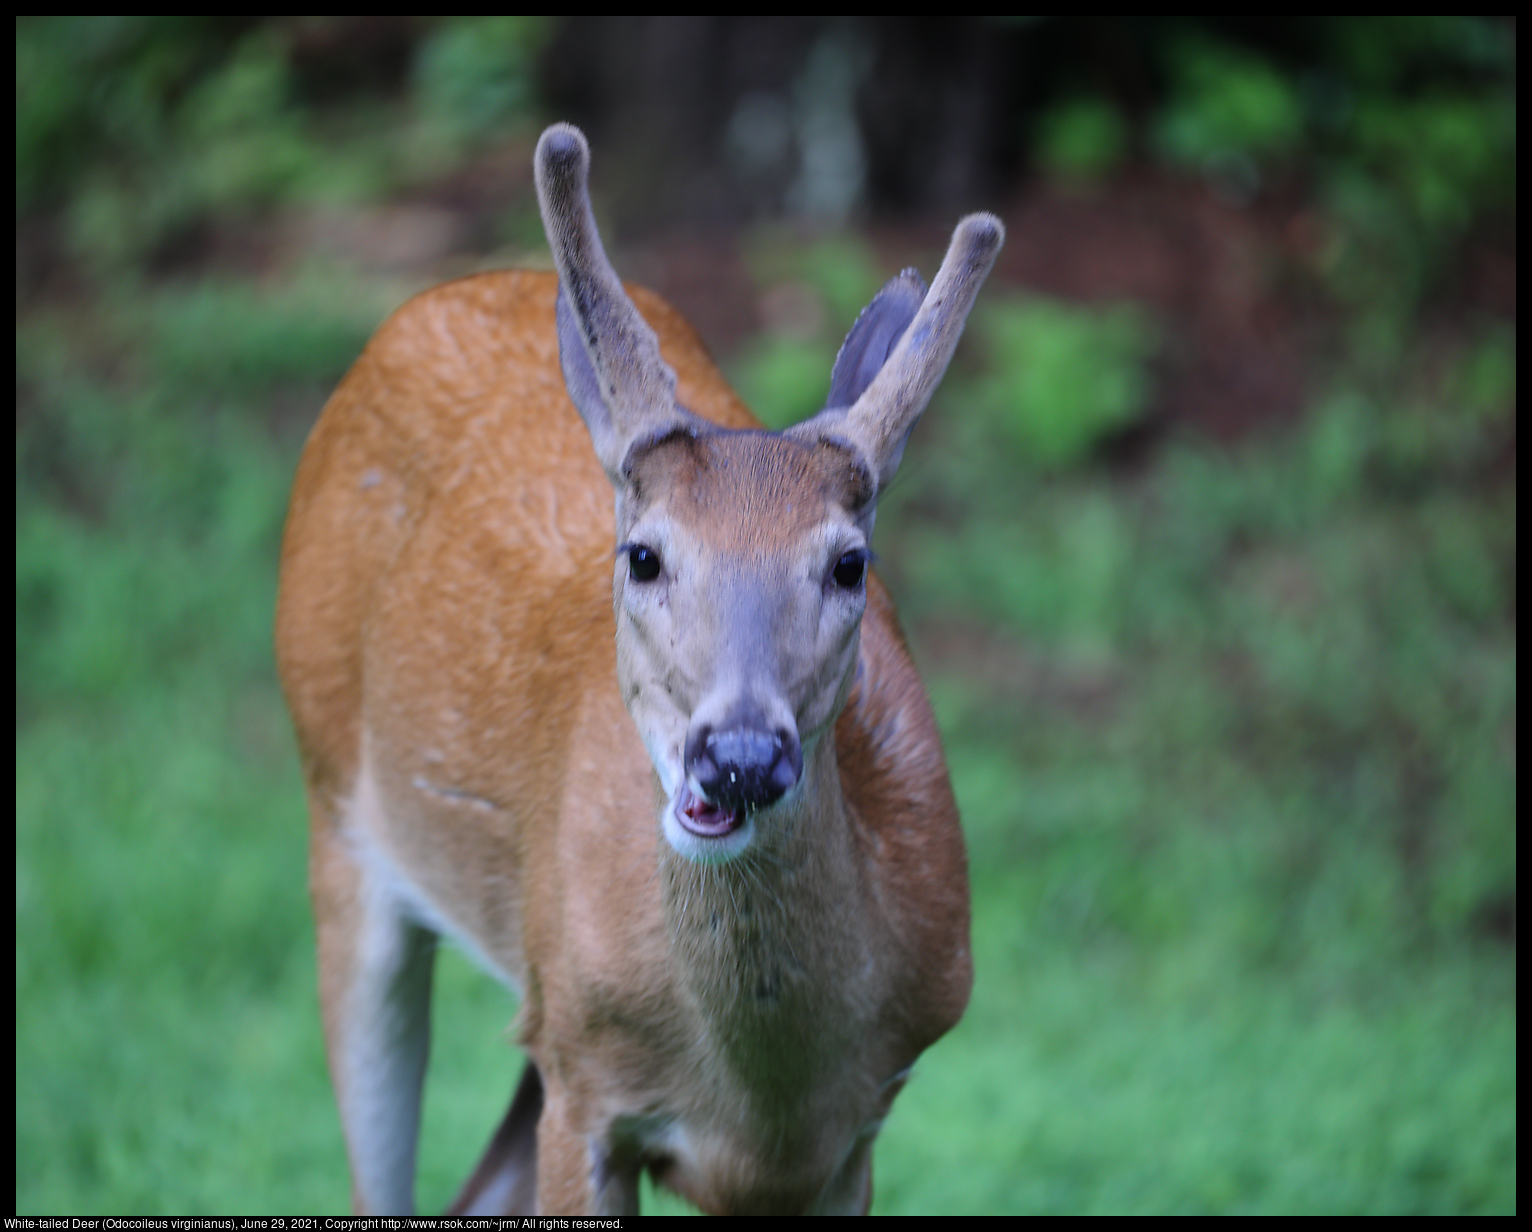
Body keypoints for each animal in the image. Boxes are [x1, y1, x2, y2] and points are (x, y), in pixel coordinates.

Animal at [275, 120, 1004, 1219]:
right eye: (644, 555)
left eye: (850, 564)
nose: (738, 754)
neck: (763, 1099)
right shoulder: (582, 1080)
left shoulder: (858, 1128)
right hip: (337, 820)